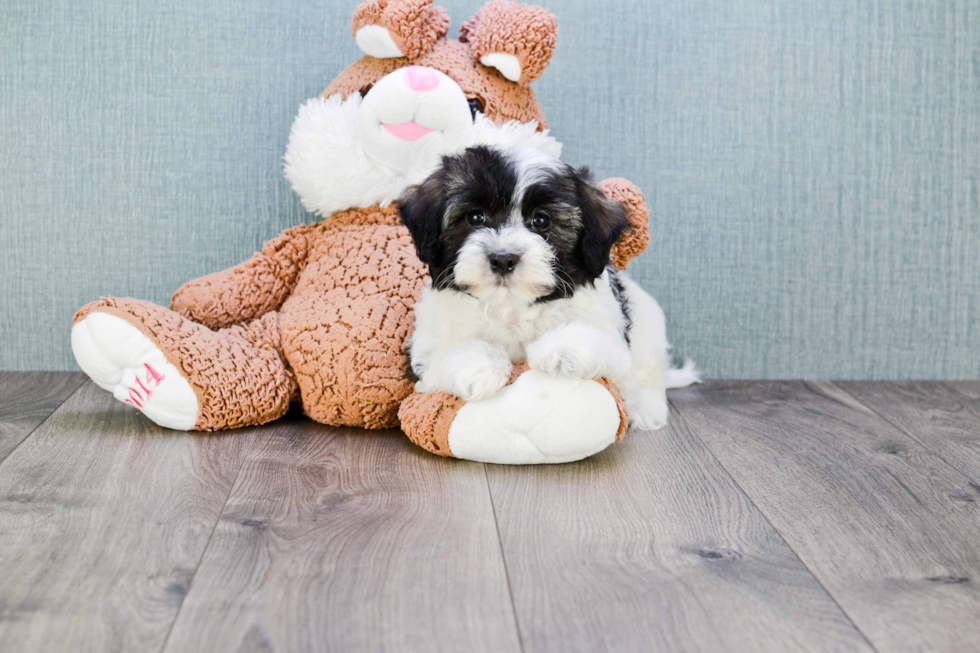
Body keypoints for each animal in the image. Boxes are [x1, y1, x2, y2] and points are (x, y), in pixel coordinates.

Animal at [398, 144, 688, 428]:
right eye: (476, 217)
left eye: (541, 220)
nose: (503, 259)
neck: (512, 306)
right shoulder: (427, 345)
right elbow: (445, 354)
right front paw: (479, 365)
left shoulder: (614, 344)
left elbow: (599, 344)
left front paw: (560, 349)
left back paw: (647, 409)